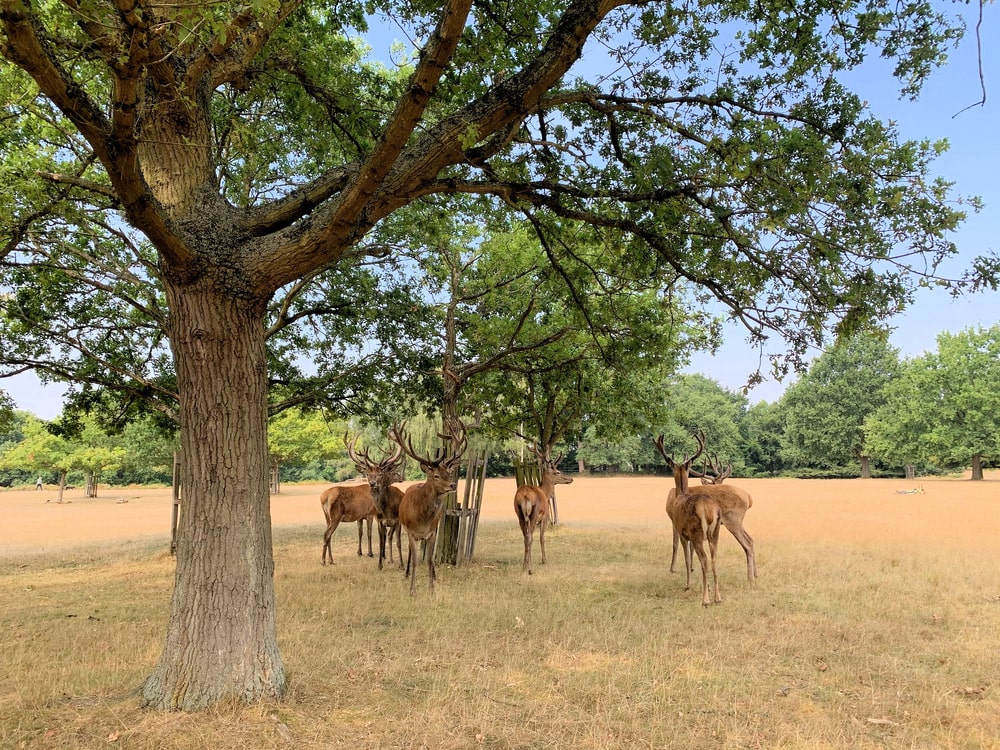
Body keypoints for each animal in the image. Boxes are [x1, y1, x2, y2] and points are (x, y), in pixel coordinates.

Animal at [345, 431, 406, 570]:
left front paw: (402, 565)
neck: (387, 509)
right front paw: (379, 564)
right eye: (367, 474)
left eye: (380, 474)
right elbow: (381, 541)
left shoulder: (397, 521)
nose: (372, 483)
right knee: (383, 536)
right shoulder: (379, 521)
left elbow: (399, 542)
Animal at [388, 418, 468, 595]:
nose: (453, 485)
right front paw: (412, 591)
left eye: (449, 473)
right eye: (436, 475)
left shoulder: (432, 533)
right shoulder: (411, 532)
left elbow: (430, 560)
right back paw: (406, 574)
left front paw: (432, 589)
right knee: (410, 553)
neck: (422, 520)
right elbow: (416, 560)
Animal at [514, 444, 573, 574]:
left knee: (525, 538)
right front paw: (544, 560)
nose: (571, 479)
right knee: (530, 538)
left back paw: (524, 566)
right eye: (557, 471)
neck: (545, 493)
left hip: (519, 514)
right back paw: (530, 569)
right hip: (534, 514)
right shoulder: (544, 517)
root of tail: (525, 496)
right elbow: (542, 538)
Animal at [654, 432, 756, 585]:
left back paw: (750, 577)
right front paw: (690, 569)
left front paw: (675, 569)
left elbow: (676, 544)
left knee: (747, 544)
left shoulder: (675, 522)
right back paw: (755, 575)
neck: (675, 495)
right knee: (750, 540)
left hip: (733, 520)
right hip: (732, 523)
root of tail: (748, 498)